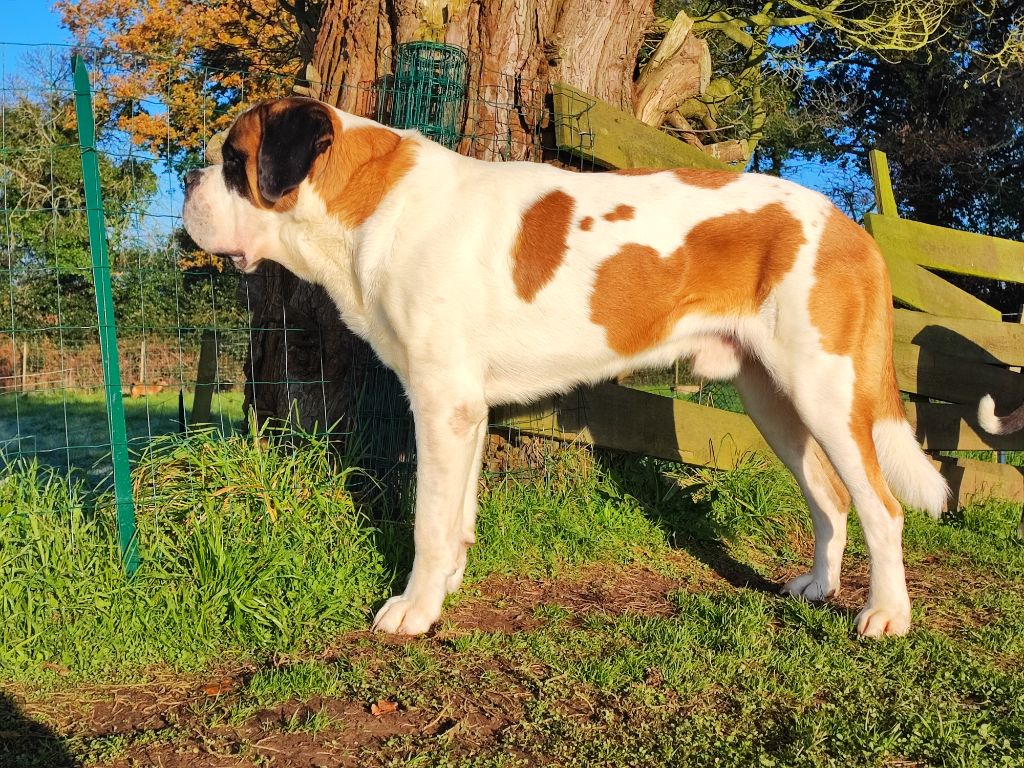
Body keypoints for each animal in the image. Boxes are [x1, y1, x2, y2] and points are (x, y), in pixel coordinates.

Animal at [183, 96, 948, 638]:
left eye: (233, 162)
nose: (189, 186)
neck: (372, 201)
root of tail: (848, 225)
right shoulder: (467, 409)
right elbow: (457, 513)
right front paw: (448, 585)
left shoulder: (440, 403)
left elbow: (429, 518)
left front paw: (414, 610)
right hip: (773, 398)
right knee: (831, 496)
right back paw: (818, 587)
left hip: (825, 388)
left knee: (882, 506)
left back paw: (887, 615)